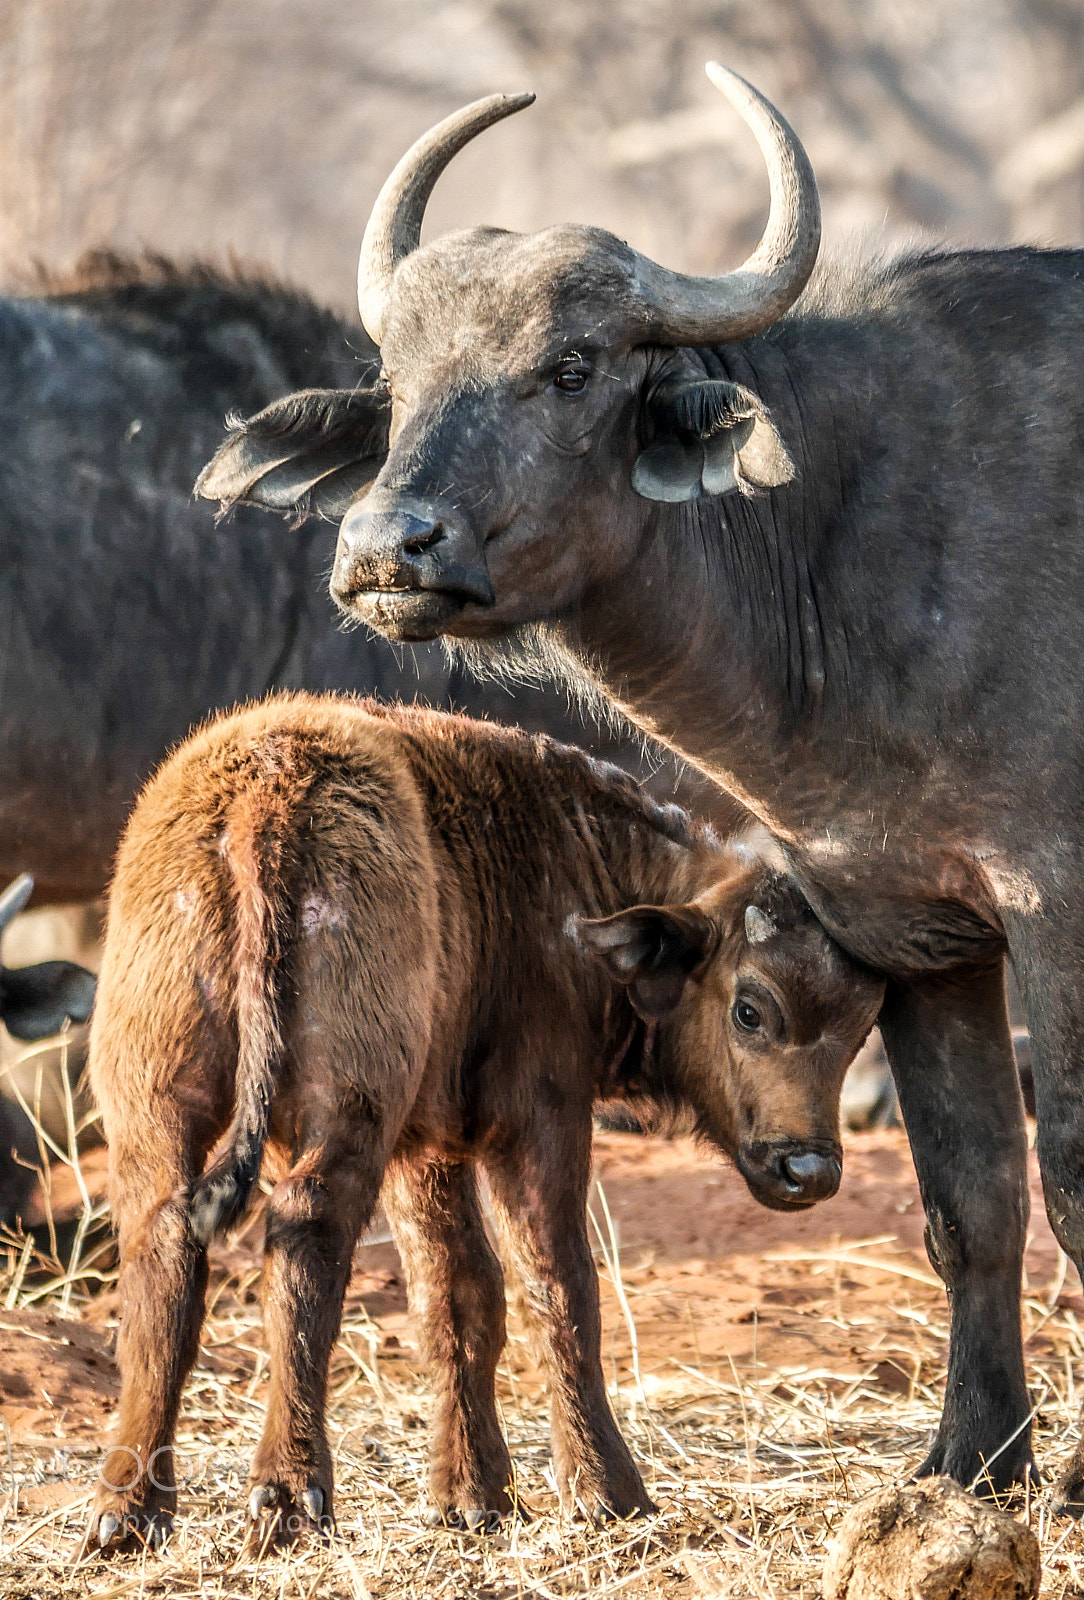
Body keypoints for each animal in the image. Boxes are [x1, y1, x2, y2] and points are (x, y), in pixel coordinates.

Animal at [86, 694, 883, 1551]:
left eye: (861, 1029)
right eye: (750, 1008)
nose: (809, 1170)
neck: (574, 870)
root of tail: (262, 797)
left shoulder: (425, 1147)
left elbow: (457, 1296)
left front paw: (471, 1496)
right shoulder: (538, 1120)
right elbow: (557, 1289)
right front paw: (607, 1492)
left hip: (160, 1108)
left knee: (165, 1255)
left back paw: (129, 1508)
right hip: (346, 1115)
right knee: (304, 1242)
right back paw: (290, 1494)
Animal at [197, 69, 1084, 1505]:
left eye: (568, 369)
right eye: (399, 382)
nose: (389, 545)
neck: (838, 546)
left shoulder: (1056, 904)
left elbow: (1071, 1178)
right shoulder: (923, 928)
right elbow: (972, 1201)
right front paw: (971, 1464)